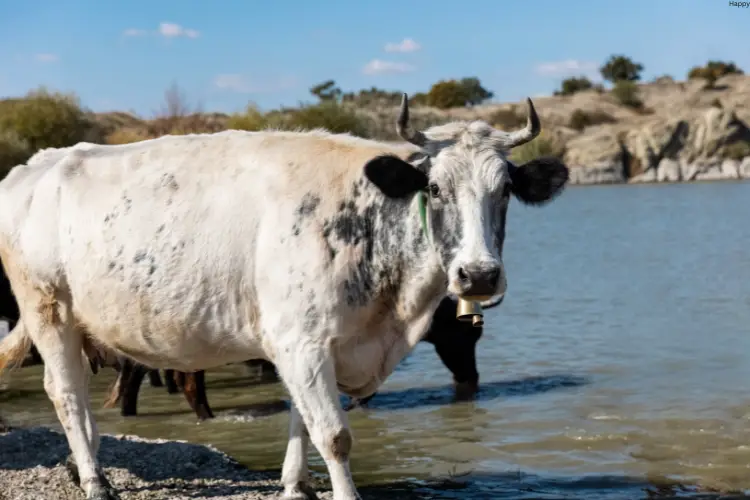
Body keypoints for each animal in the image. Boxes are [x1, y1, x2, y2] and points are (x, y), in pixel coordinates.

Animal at [0, 94, 568, 500]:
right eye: (434, 189)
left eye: (506, 190)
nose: (478, 275)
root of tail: (36, 165)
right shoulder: (302, 340)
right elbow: (334, 434)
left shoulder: (310, 343)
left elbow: (301, 417)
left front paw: (297, 485)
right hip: (48, 308)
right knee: (65, 391)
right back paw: (96, 482)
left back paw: (87, 464)